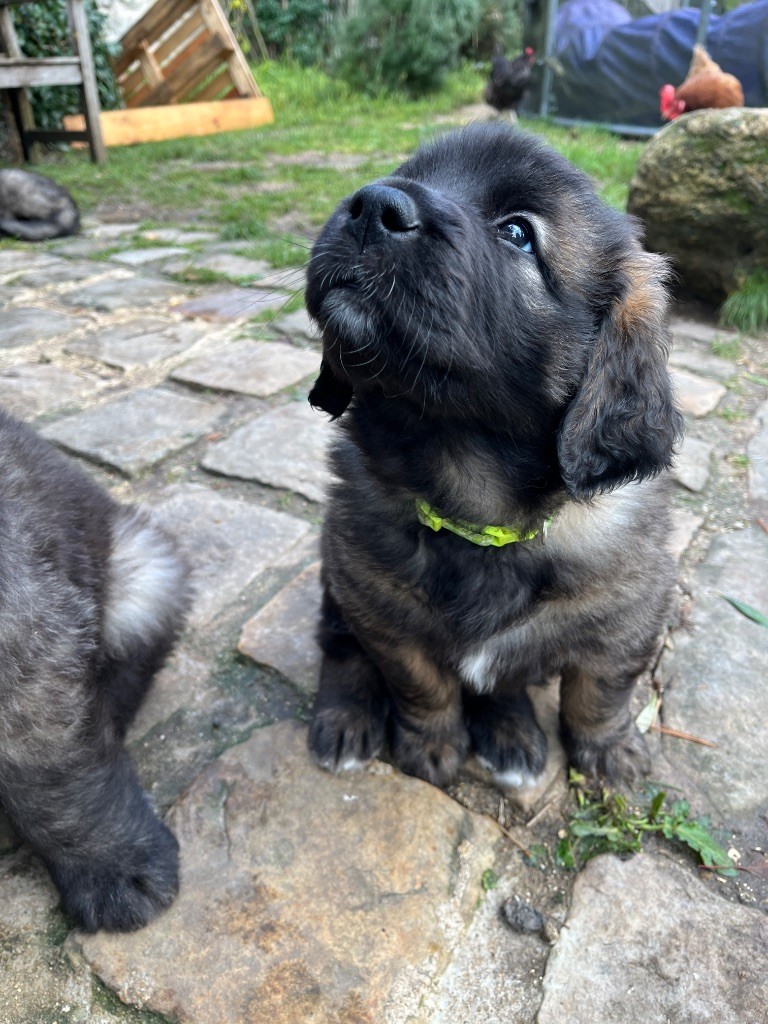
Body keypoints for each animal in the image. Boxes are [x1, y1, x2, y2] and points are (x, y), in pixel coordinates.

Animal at [303, 121, 684, 790]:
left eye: (518, 233)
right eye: (411, 175)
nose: (373, 205)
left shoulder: (629, 618)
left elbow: (600, 694)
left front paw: (609, 751)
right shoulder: (382, 610)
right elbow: (421, 686)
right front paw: (431, 745)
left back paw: (509, 735)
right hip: (339, 573)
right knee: (339, 645)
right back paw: (346, 718)